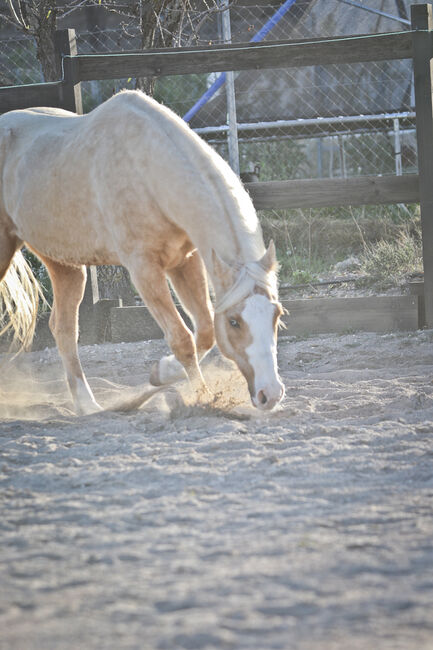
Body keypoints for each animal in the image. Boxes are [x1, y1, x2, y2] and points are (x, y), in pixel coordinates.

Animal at [0, 90, 286, 416]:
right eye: (234, 322)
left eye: (276, 314)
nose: (270, 394)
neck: (147, 169)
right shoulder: (145, 269)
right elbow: (182, 338)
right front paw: (202, 396)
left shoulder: (184, 262)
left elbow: (203, 332)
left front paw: (161, 373)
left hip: (65, 264)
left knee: (63, 330)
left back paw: (87, 404)